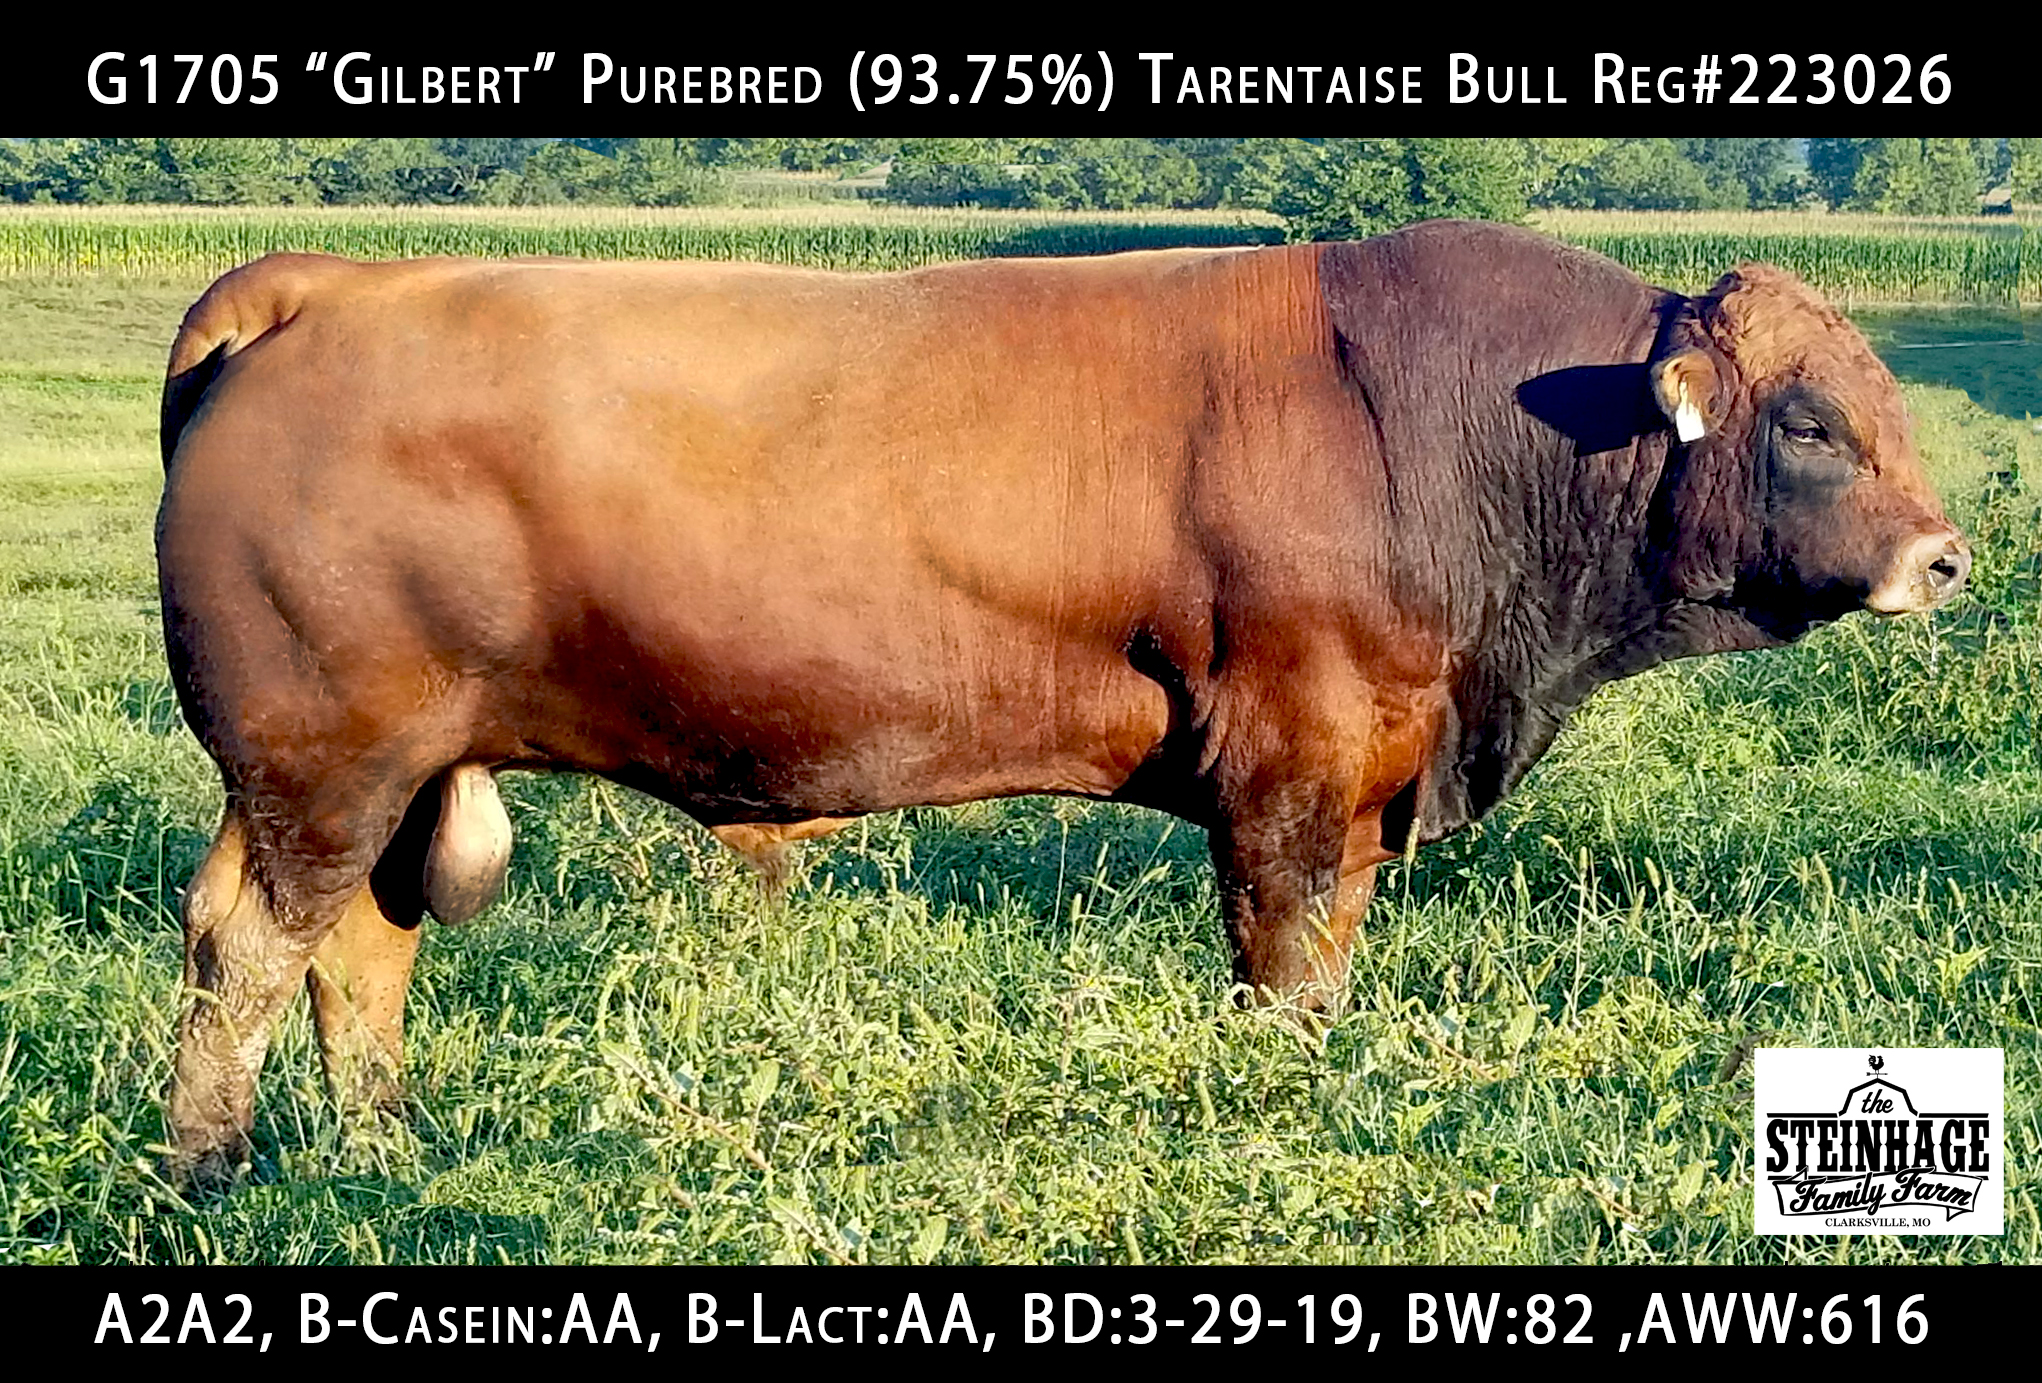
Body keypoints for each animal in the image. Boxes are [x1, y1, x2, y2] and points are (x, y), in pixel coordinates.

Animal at [155, 220, 1969, 1186]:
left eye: (1881, 398)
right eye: (1810, 420)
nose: (1946, 556)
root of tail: (343, 282)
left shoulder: (1362, 774)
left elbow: (1324, 961)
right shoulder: (1293, 762)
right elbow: (1281, 966)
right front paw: (1273, 1112)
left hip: (397, 769)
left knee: (359, 950)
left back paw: (382, 1149)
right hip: (321, 759)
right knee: (250, 940)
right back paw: (208, 1163)